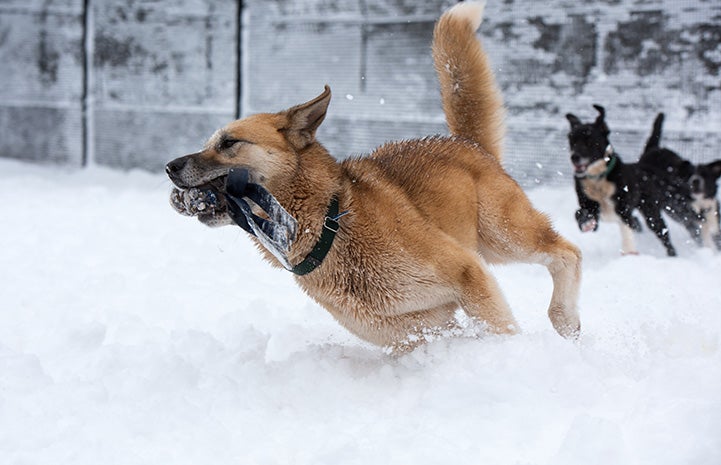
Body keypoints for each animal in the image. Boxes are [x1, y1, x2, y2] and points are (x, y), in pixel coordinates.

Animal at [564, 105, 700, 256]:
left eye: (589, 141)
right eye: (572, 141)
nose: (574, 157)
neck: (599, 178)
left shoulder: (623, 210)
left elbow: (627, 231)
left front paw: (629, 252)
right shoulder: (590, 206)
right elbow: (580, 213)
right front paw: (586, 222)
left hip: (659, 211)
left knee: (672, 233)